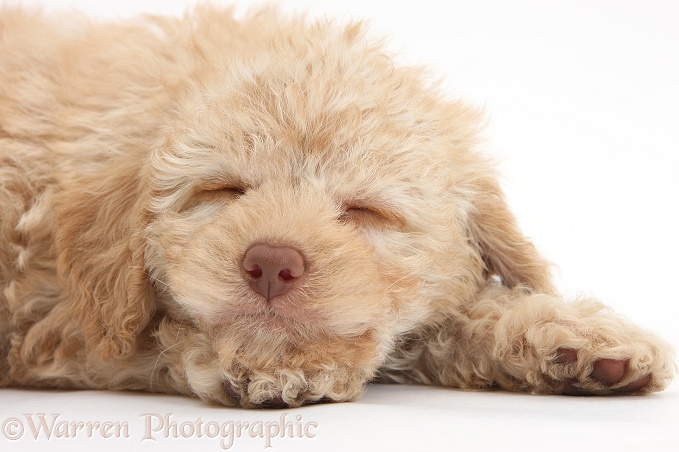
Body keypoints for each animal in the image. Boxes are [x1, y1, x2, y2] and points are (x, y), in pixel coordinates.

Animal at [0, 5, 676, 408]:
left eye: (364, 211)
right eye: (224, 191)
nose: (271, 263)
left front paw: (573, 340)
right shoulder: (54, 322)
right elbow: (163, 339)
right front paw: (276, 367)